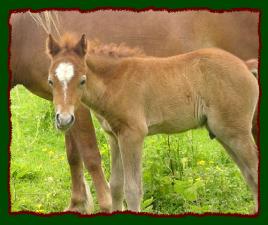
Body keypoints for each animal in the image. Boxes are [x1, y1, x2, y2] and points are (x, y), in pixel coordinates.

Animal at [9, 9, 258, 213]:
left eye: (82, 80)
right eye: (50, 81)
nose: (62, 119)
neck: (116, 80)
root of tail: (245, 66)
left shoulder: (132, 134)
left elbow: (125, 183)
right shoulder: (113, 135)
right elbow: (112, 182)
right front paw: (80, 204)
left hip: (236, 132)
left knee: (254, 170)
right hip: (224, 133)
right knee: (249, 174)